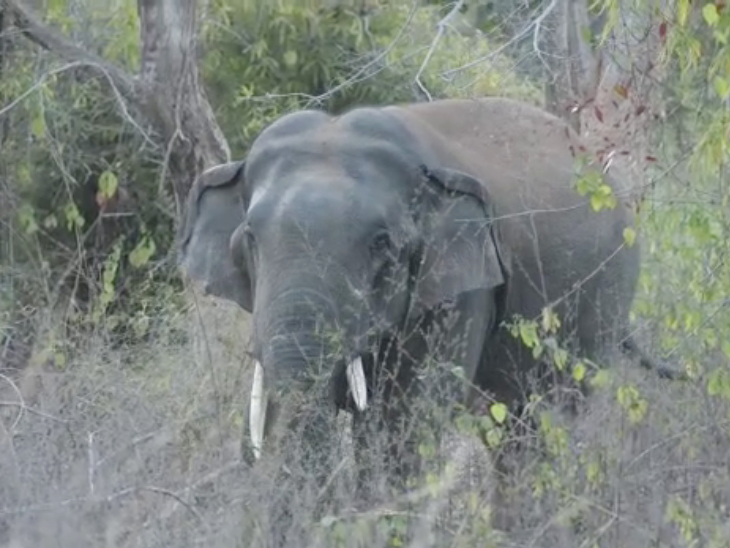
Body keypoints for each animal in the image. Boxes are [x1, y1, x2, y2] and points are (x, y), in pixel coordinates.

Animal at [175, 95, 672, 500]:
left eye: (381, 244)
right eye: (249, 239)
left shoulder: (463, 288)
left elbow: (404, 423)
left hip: (602, 298)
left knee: (546, 427)